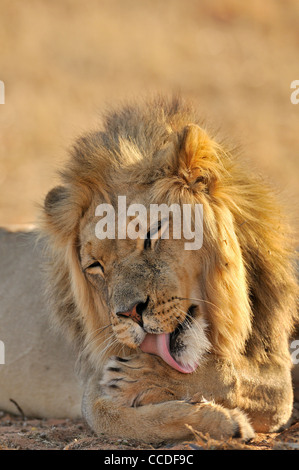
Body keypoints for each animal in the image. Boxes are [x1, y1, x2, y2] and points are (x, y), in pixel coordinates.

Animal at [0, 97, 298, 442]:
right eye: (95, 266)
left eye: (150, 234)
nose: (130, 313)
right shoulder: (94, 389)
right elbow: (121, 419)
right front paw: (225, 422)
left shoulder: (278, 372)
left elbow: (233, 376)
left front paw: (144, 377)